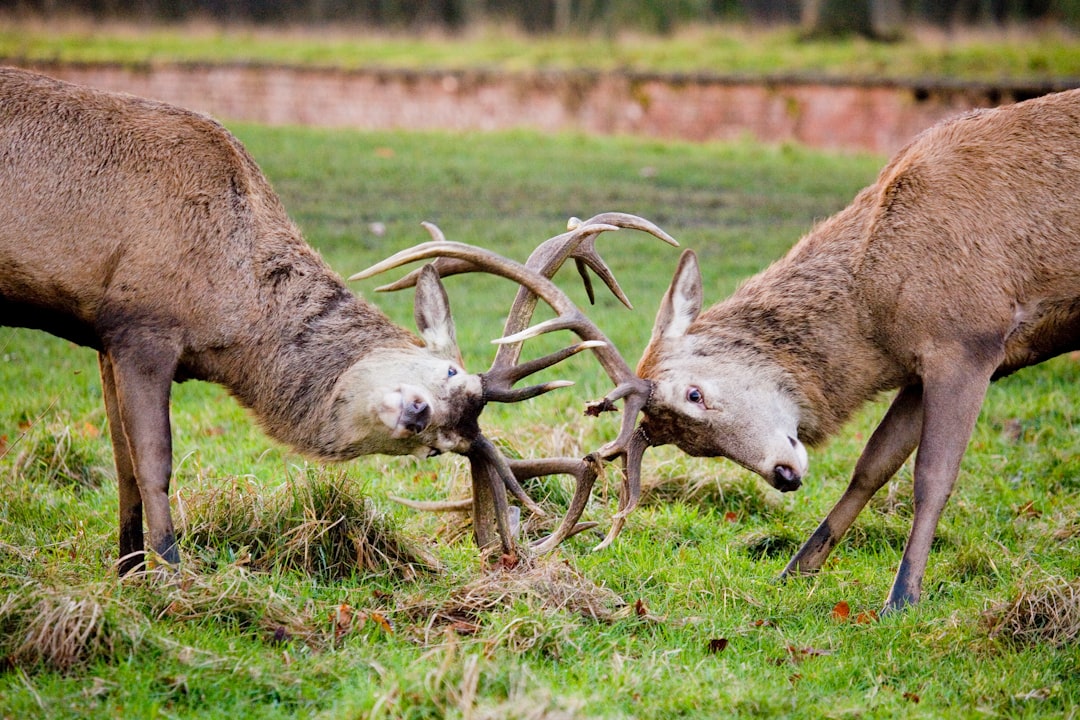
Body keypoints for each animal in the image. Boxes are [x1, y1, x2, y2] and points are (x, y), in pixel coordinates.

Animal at [0, 66, 673, 574]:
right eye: (449, 372)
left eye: (438, 449)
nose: (416, 412)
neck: (229, 305)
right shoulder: (142, 324)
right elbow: (154, 464)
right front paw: (170, 574)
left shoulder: (105, 337)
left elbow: (123, 472)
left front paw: (129, 570)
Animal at [503, 85, 1080, 613]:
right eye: (695, 448)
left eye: (694, 393)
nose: (783, 476)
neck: (879, 304)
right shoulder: (922, 366)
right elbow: (872, 465)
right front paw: (796, 570)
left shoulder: (969, 339)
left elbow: (932, 476)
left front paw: (903, 598)